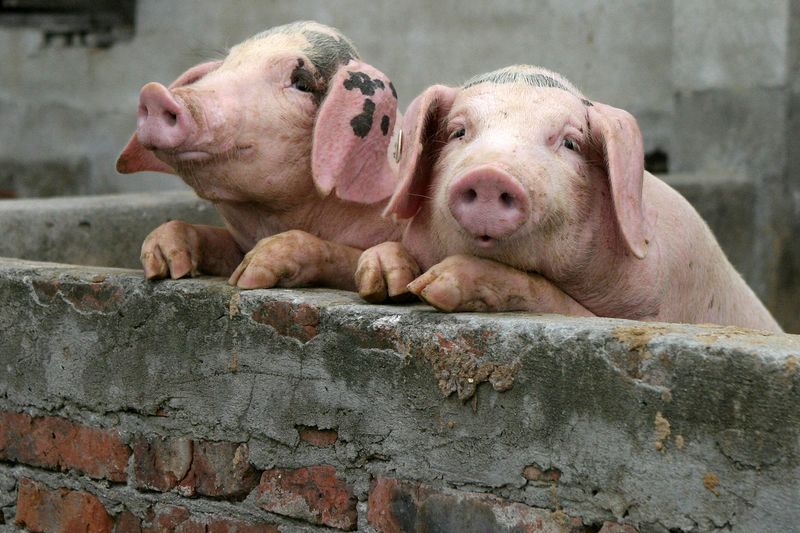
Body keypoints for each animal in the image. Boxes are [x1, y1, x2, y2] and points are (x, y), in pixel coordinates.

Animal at [115, 20, 404, 288]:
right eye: (224, 65)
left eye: (301, 82)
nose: (154, 92)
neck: (277, 218)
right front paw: (162, 264)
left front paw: (248, 276)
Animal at [354, 65, 780, 332]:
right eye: (459, 132)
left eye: (570, 143)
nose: (491, 174)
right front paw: (384, 278)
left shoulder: (651, 314)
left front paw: (436, 285)